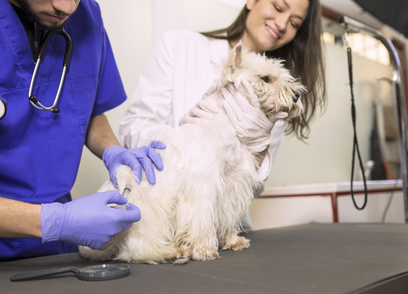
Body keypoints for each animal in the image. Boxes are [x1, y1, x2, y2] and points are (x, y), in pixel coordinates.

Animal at [79, 43, 302, 264]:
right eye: (265, 78)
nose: (297, 96)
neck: (226, 127)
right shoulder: (202, 189)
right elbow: (201, 221)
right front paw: (204, 250)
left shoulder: (232, 185)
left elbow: (228, 216)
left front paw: (233, 240)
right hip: (141, 216)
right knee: (137, 249)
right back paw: (173, 251)